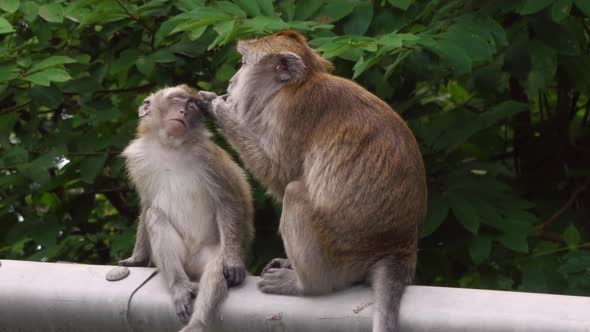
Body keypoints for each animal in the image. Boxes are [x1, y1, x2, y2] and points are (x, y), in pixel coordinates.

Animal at [118, 84, 254, 330]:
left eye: (191, 106)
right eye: (176, 101)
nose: (182, 112)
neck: (170, 146)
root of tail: (191, 267)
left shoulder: (208, 157)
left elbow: (227, 200)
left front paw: (233, 262)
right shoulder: (138, 159)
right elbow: (147, 204)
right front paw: (137, 259)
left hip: (209, 253)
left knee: (215, 268)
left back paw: (197, 323)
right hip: (182, 259)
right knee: (155, 216)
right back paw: (180, 287)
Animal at [210, 31, 428, 332]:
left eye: (243, 63)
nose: (231, 82)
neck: (297, 84)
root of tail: (399, 248)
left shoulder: (287, 113)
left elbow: (281, 176)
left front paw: (219, 111)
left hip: (342, 256)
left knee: (295, 193)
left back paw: (306, 285)